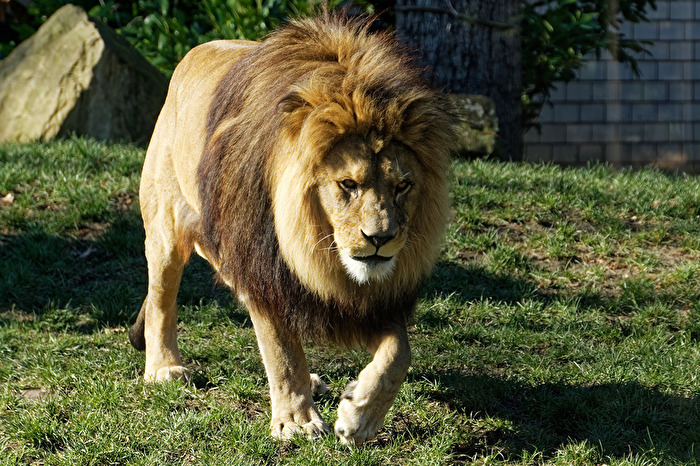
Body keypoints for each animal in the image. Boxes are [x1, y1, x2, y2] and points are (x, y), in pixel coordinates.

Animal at [128, 12, 454, 445]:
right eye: (347, 184)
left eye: (403, 186)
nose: (380, 240)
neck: (313, 245)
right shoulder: (263, 271)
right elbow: (282, 351)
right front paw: (296, 422)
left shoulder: (370, 302)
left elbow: (399, 354)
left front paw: (360, 418)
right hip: (166, 227)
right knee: (161, 299)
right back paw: (163, 368)